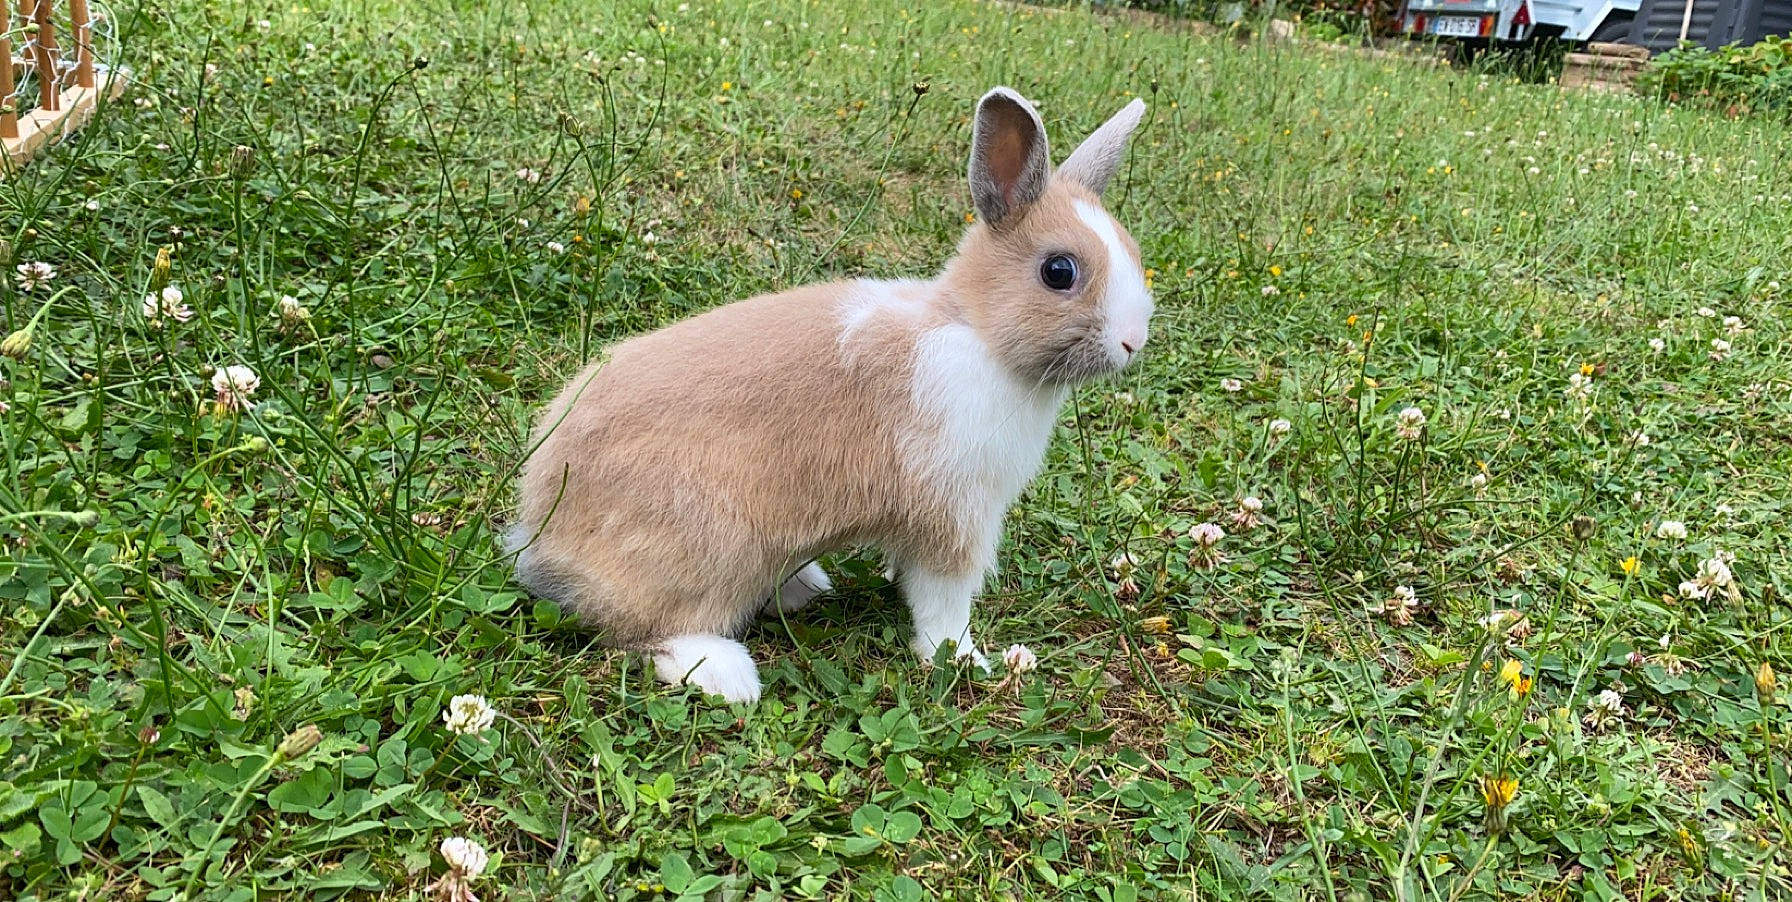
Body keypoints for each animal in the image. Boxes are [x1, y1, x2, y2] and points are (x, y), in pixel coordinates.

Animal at [508, 86, 1153, 703]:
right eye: (1059, 271)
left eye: (1133, 252)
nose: (1132, 341)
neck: (981, 337)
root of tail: (541, 537)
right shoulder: (952, 515)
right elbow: (943, 601)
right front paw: (962, 659)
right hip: (705, 548)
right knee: (640, 627)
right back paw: (727, 674)